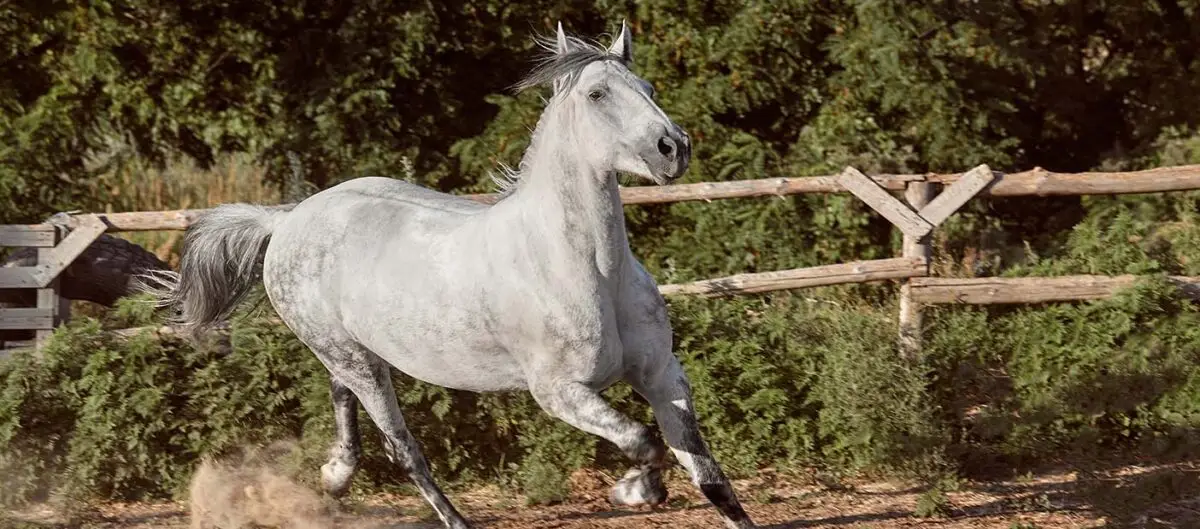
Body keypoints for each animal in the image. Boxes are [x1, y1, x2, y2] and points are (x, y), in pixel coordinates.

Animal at [140, 21, 756, 529]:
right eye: (597, 94)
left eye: (648, 88)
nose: (673, 148)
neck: (588, 270)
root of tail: (288, 219)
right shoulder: (558, 392)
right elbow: (643, 444)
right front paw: (631, 492)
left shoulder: (662, 376)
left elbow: (709, 477)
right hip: (351, 355)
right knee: (404, 448)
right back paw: (445, 516)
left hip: (355, 352)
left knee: (342, 395)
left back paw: (335, 475)